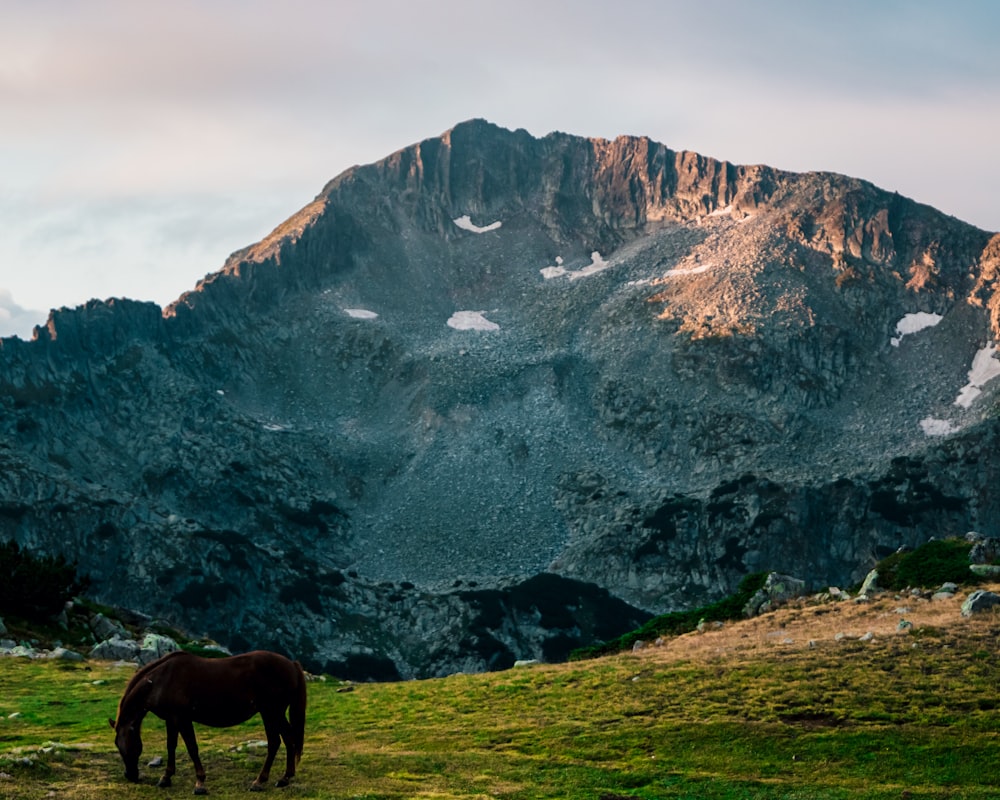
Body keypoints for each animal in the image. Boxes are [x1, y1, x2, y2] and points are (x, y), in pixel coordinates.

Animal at [109, 648, 304, 792]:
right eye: (117, 745)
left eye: (125, 744)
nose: (130, 775)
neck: (160, 680)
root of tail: (291, 664)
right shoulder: (171, 719)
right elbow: (171, 746)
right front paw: (166, 778)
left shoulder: (182, 719)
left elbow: (192, 748)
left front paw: (200, 783)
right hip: (271, 713)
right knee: (285, 740)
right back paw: (283, 778)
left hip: (272, 712)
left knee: (278, 741)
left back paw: (262, 781)